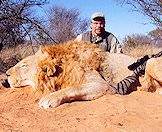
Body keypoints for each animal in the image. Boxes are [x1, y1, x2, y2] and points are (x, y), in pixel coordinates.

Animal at [5, 41, 162, 108]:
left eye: (24, 65)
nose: (6, 74)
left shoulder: (103, 85)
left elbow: (73, 88)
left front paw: (49, 99)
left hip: (151, 61)